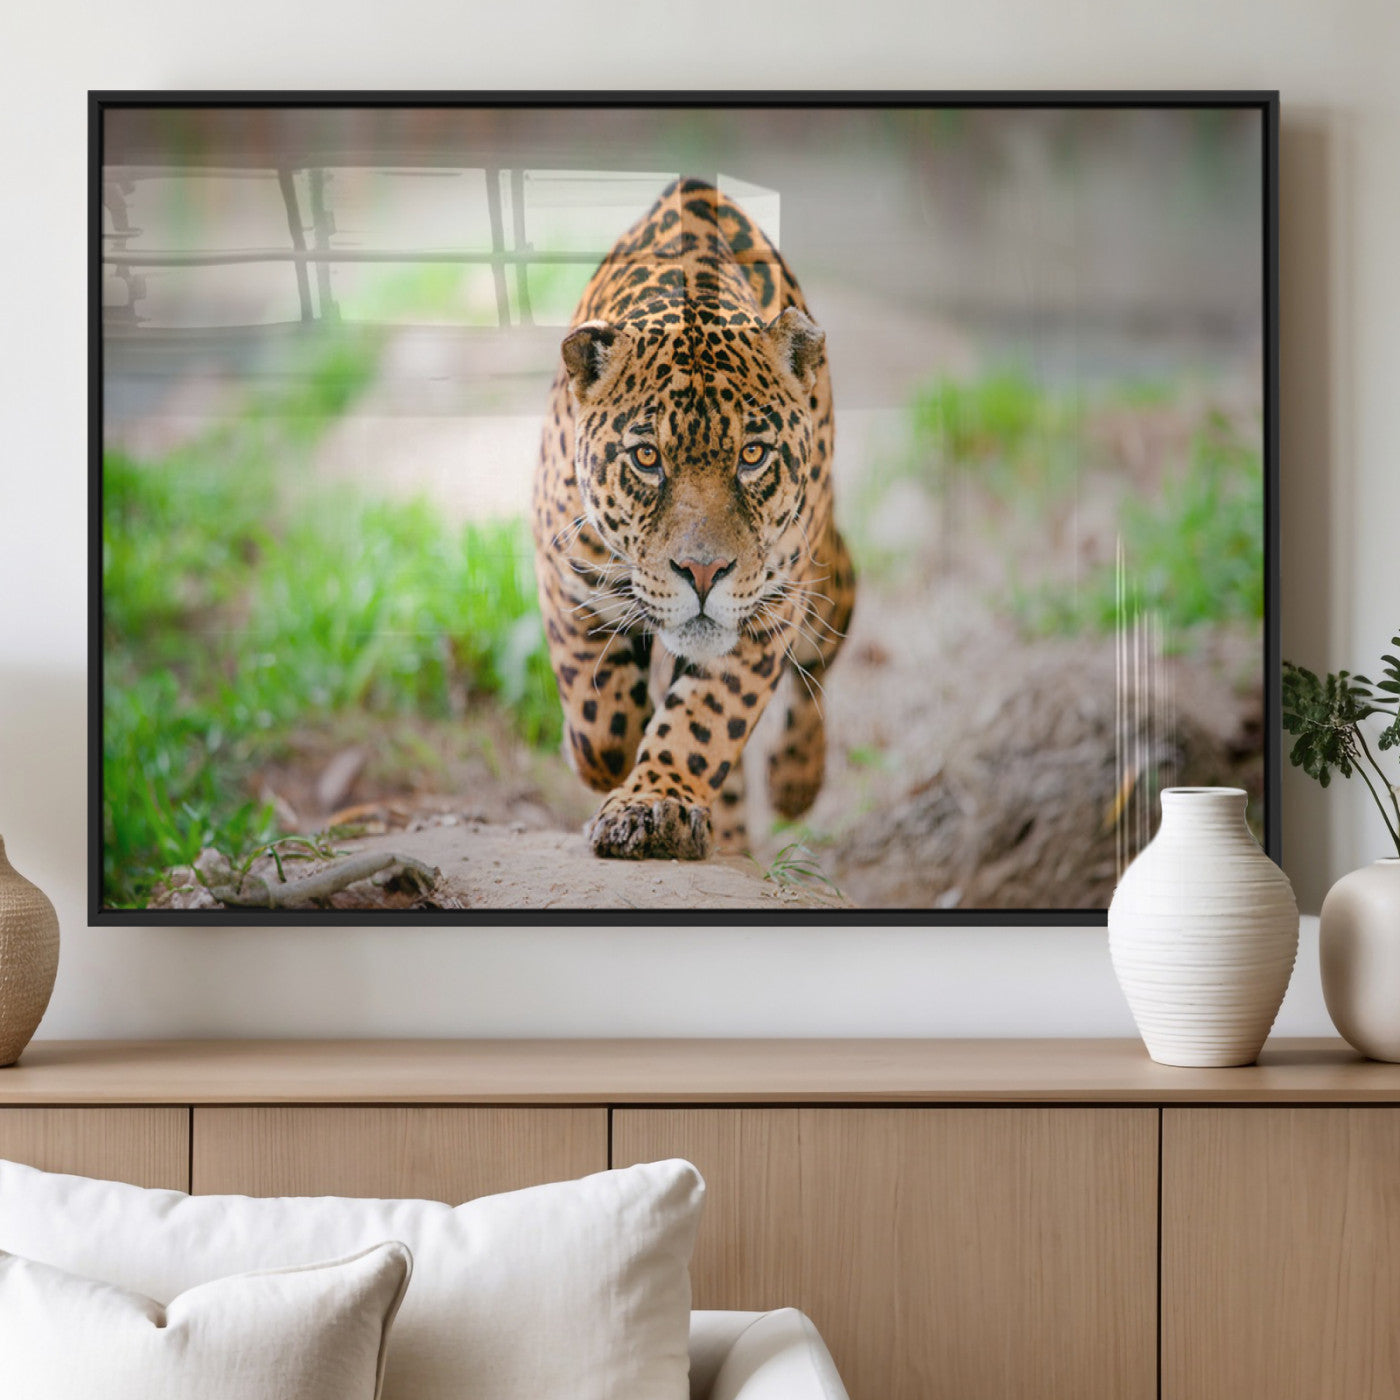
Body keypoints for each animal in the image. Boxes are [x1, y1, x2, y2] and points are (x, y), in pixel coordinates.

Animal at [531, 176, 855, 861]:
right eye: (647, 458)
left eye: (753, 456)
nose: (703, 573)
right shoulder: (565, 568)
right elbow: (599, 714)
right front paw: (601, 761)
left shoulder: (768, 609)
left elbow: (704, 720)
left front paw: (653, 804)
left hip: (827, 580)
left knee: (816, 664)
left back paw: (795, 780)